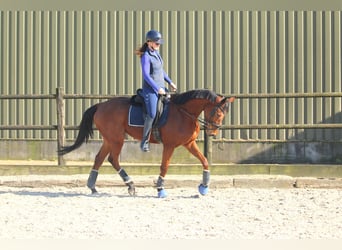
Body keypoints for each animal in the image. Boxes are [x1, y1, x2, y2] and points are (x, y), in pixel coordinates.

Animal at [58, 89, 235, 197]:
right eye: (218, 113)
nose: (212, 133)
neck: (184, 113)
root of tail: (100, 105)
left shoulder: (189, 143)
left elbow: (204, 161)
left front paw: (204, 187)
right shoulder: (170, 145)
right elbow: (165, 166)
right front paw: (160, 189)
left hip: (110, 139)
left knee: (99, 159)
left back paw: (93, 187)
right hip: (116, 139)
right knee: (113, 159)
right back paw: (130, 185)